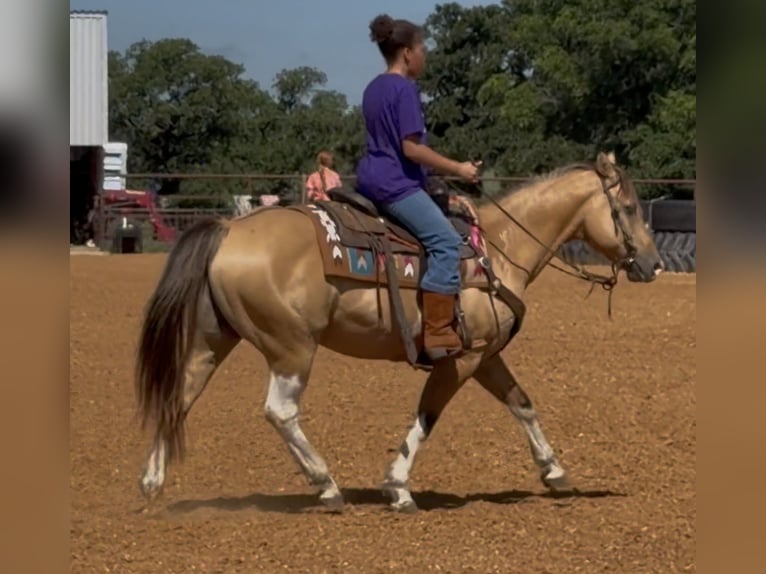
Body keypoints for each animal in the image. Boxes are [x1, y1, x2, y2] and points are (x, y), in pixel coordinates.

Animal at [135, 152, 663, 513]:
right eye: (628, 208)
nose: (654, 264)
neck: (497, 248)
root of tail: (229, 228)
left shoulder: (487, 356)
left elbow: (523, 404)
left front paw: (554, 470)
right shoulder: (461, 359)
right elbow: (427, 415)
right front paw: (398, 486)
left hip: (214, 340)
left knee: (180, 395)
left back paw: (151, 483)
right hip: (291, 347)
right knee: (280, 412)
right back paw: (326, 484)